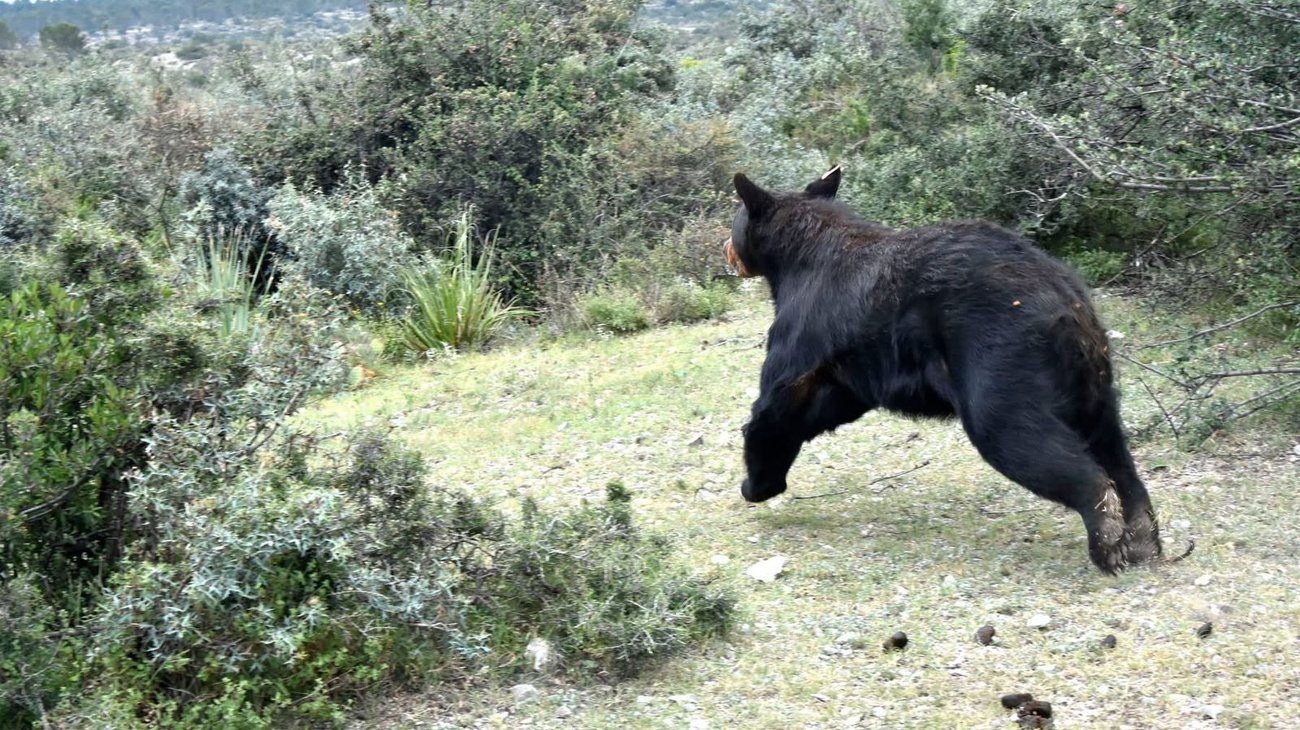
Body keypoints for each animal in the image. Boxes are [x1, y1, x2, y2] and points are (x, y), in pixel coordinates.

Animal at [724, 166, 1160, 573]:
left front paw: (755, 483)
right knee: (1112, 447)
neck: (797, 257)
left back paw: (1106, 538)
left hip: (1001, 357)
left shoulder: (803, 329)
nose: (727, 247)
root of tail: (1067, 303)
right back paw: (1142, 535)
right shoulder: (853, 364)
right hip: (1093, 379)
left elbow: (776, 406)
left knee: (1018, 436)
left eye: (735, 220)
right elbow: (829, 402)